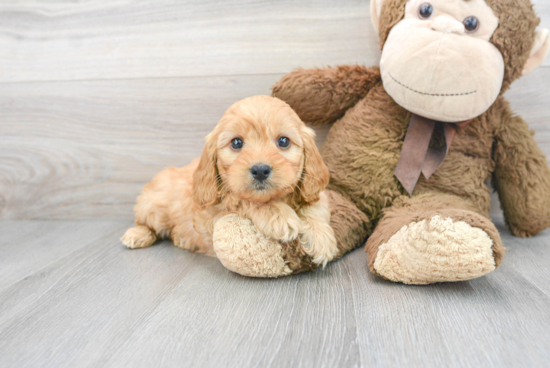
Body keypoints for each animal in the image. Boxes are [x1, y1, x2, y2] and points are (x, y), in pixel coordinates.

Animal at [122, 95, 338, 266]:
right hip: (154, 207)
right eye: (236, 142)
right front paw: (277, 214)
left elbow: (314, 208)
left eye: (283, 141)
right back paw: (137, 235)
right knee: (145, 222)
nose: (260, 170)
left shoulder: (313, 192)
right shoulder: (213, 213)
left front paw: (321, 237)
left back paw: (181, 239)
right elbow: (243, 200)